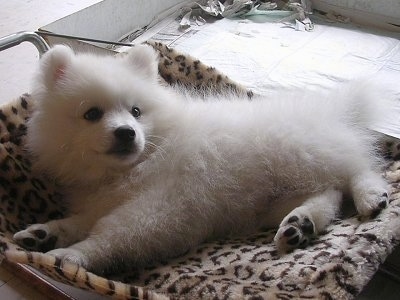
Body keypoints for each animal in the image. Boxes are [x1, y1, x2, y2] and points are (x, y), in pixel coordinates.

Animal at [14, 44, 388, 274]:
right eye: (92, 114)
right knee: (329, 192)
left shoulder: (164, 206)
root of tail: (332, 111)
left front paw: (73, 255)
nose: (126, 133)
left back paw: (370, 195)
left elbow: (111, 232)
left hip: (303, 150)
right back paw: (301, 223)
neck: (135, 166)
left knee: (357, 168)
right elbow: (80, 220)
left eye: (136, 111)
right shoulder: (103, 200)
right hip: (275, 196)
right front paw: (45, 234)